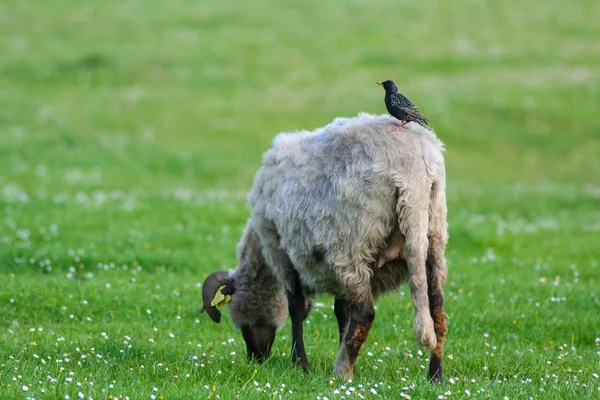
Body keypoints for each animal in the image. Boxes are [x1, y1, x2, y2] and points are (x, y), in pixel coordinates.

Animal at [199, 112, 448, 382]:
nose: (256, 357)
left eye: (239, 319)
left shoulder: (281, 251)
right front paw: (337, 348)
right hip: (433, 238)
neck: (260, 253)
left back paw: (342, 372)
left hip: (353, 244)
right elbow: (341, 311)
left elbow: (296, 307)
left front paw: (300, 363)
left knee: (365, 314)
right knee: (437, 309)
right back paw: (435, 376)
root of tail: (413, 171)